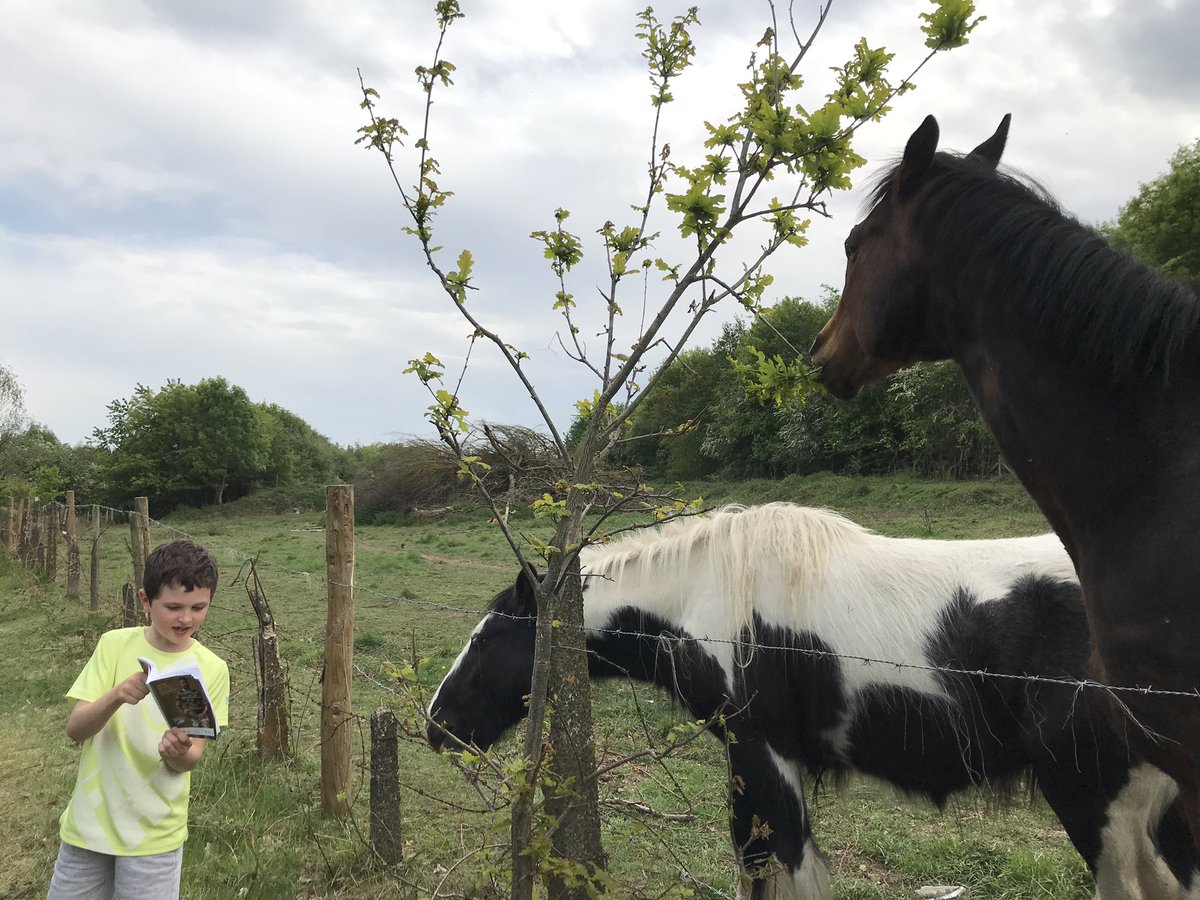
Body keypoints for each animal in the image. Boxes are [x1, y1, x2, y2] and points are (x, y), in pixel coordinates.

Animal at [426, 504, 1199, 899]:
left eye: (488, 636)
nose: (437, 725)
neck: (707, 597)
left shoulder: (764, 755)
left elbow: (784, 865)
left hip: (1101, 808)